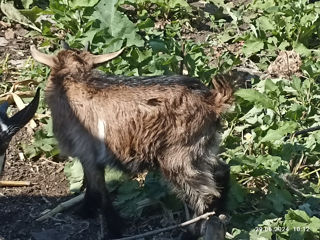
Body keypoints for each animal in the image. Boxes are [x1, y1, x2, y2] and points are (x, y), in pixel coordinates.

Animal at [30, 44, 232, 238]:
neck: (74, 80)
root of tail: (213, 100)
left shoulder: (88, 152)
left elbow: (99, 190)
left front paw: (112, 228)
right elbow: (92, 186)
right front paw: (87, 212)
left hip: (178, 156)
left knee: (205, 195)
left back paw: (190, 232)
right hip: (202, 147)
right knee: (222, 170)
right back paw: (220, 215)